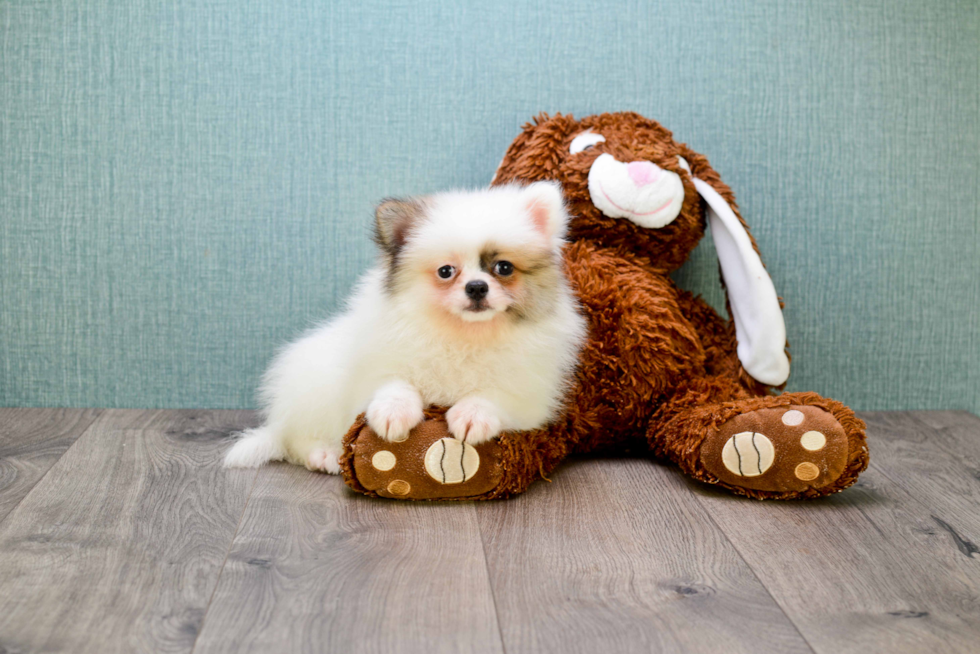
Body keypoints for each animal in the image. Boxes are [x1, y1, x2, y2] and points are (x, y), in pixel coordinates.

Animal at [226, 182, 584, 474]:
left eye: (504, 268)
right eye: (445, 271)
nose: (477, 287)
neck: (463, 334)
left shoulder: (529, 396)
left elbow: (493, 395)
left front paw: (472, 416)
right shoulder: (376, 369)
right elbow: (394, 383)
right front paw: (393, 413)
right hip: (316, 390)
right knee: (294, 438)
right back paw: (324, 455)